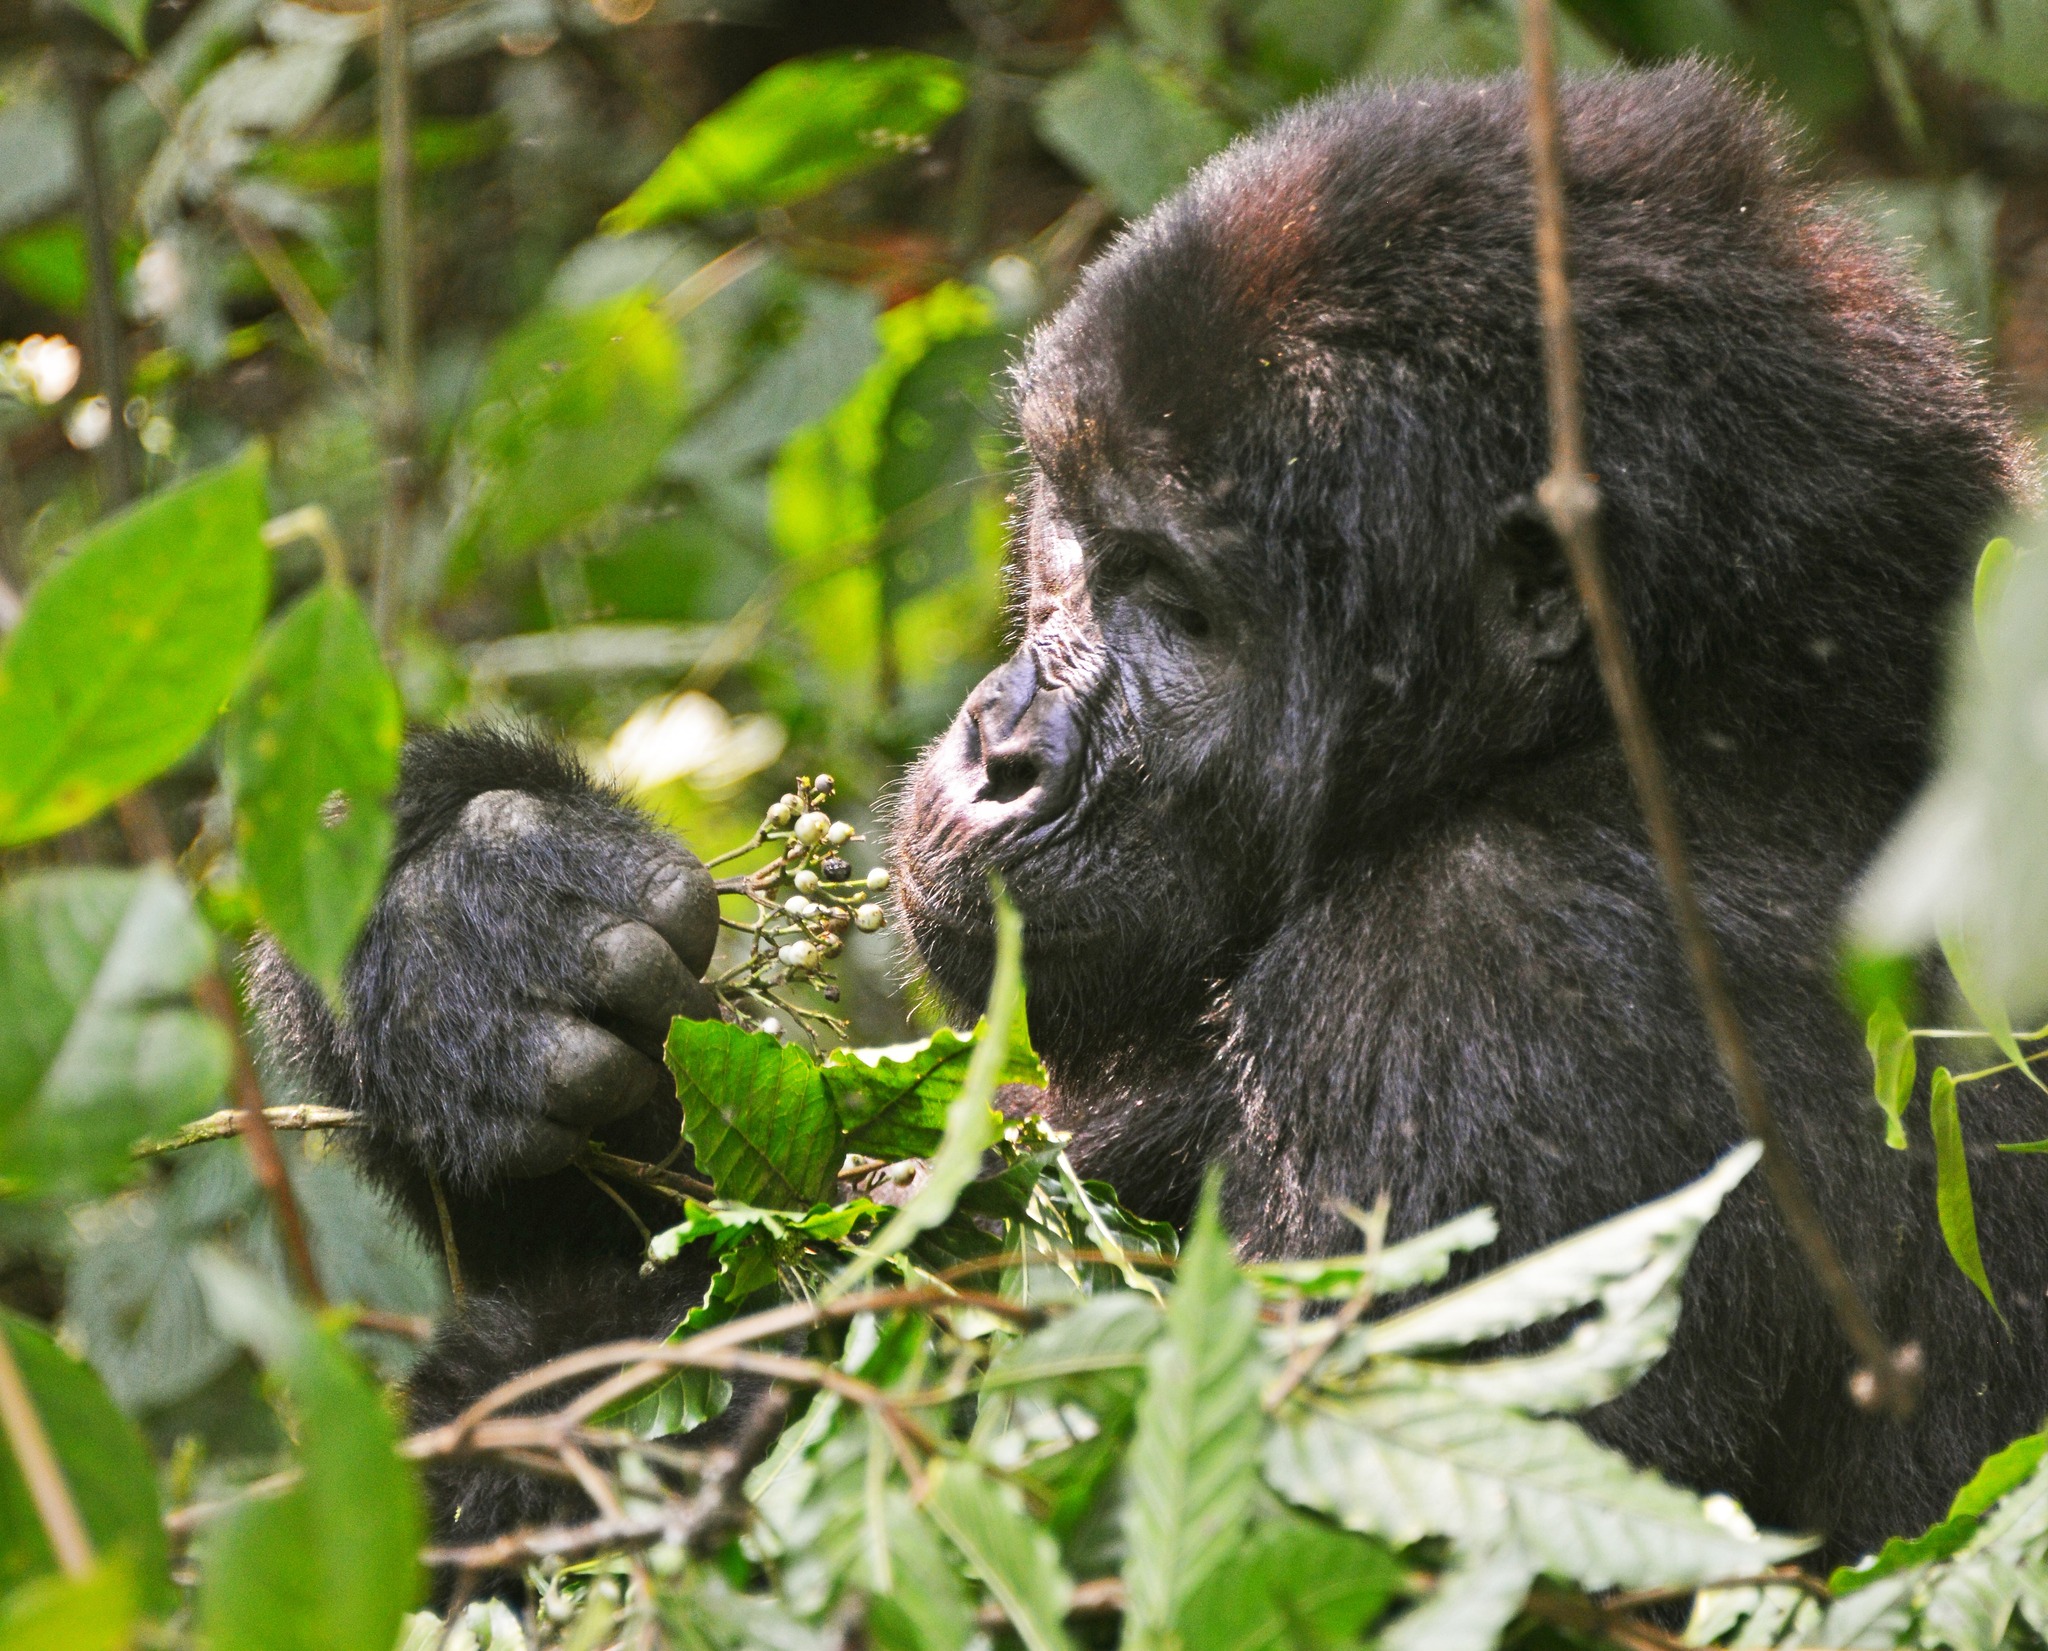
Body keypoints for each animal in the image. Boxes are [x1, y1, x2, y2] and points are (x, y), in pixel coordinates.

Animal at [264, 61, 2039, 1564]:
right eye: (1073, 532)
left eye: (1181, 608)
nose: (1000, 747)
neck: (1664, 710)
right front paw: (464, 919)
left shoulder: (1500, 996)